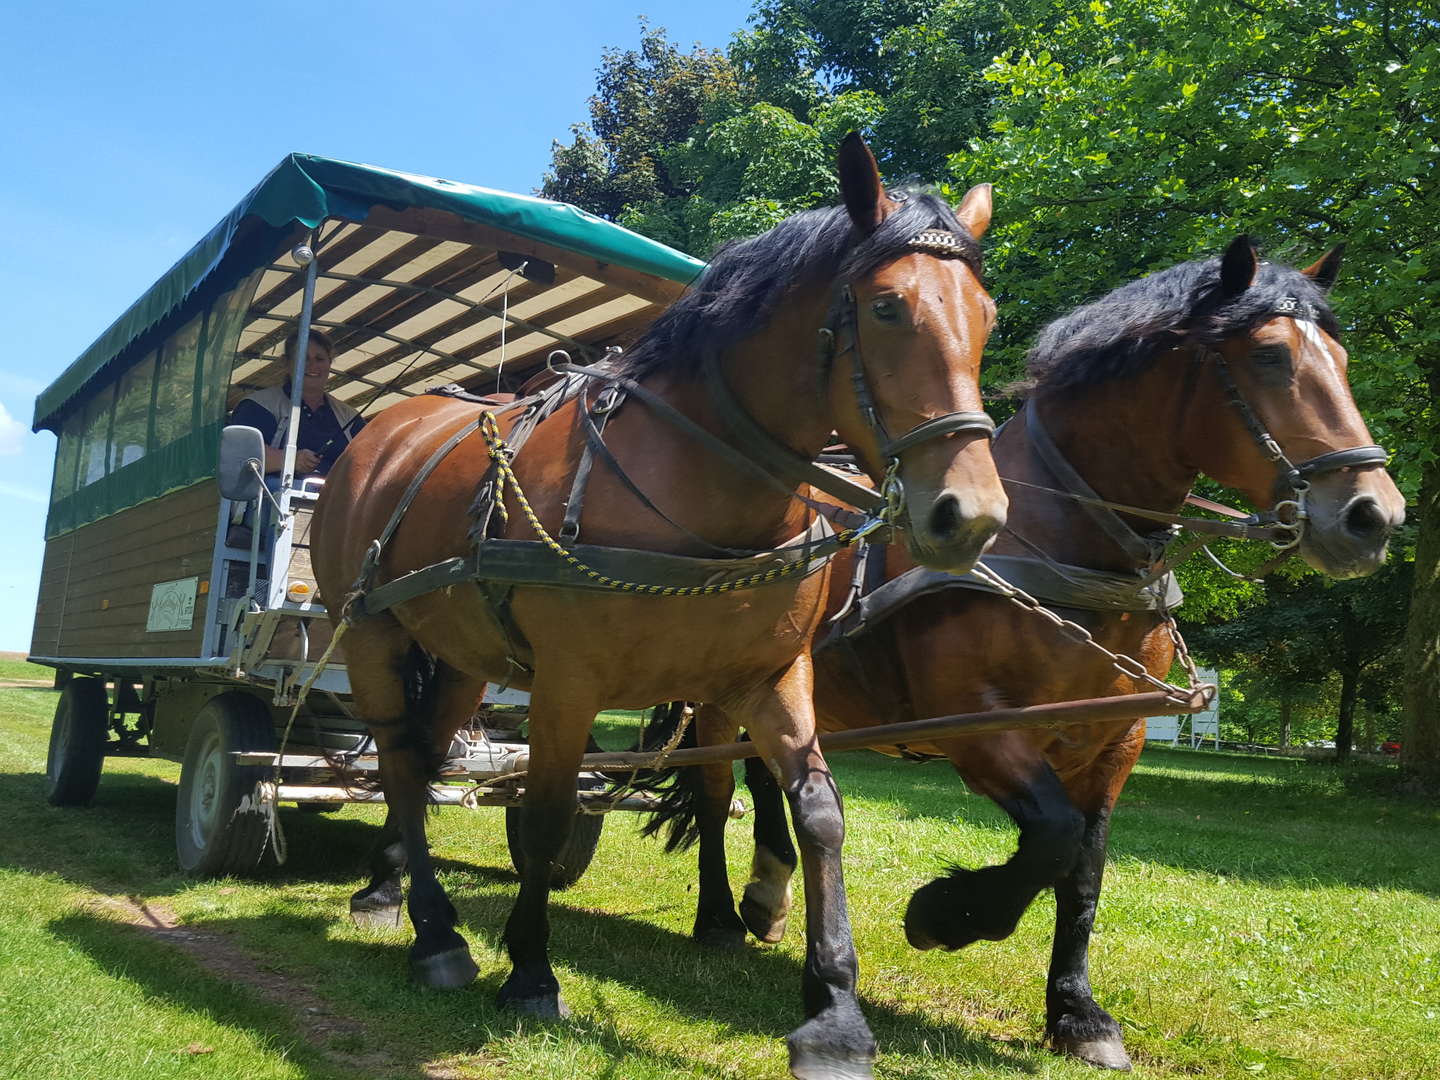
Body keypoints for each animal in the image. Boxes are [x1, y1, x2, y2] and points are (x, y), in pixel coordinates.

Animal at [312, 137, 1013, 1080]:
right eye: (888, 307)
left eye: (989, 317)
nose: (968, 513)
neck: (698, 480)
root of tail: (383, 430)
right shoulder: (568, 685)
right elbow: (546, 818)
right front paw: (530, 973)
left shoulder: (771, 676)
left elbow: (818, 815)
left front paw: (833, 1009)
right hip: (373, 636)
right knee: (394, 758)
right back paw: (432, 930)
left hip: (461, 657)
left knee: (421, 761)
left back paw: (400, 891)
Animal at [642, 236, 1405, 1077]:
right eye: (1270, 356)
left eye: (1342, 355)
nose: (1374, 515)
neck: (1065, 542)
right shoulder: (979, 727)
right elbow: (1051, 838)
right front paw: (943, 914)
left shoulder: (1115, 740)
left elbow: (1084, 870)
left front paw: (1076, 1012)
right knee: (716, 787)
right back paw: (721, 914)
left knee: (765, 775)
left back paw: (768, 892)